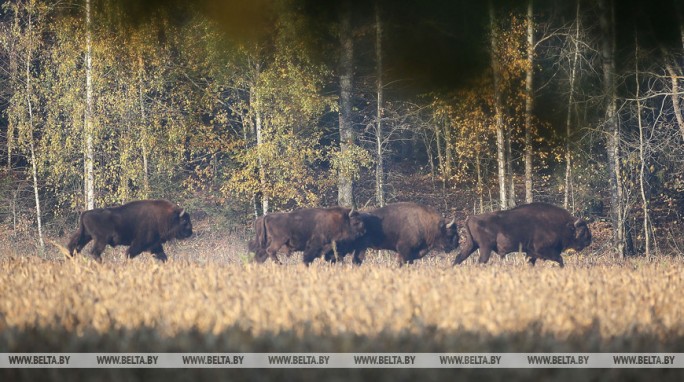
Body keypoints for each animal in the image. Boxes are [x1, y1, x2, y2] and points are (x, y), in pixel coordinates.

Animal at [452, 201, 592, 268]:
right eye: (583, 231)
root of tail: (470, 218)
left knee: (459, 258)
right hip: (485, 248)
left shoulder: (531, 254)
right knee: (481, 261)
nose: (589, 240)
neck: (562, 224)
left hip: (472, 245)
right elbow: (560, 259)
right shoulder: (542, 250)